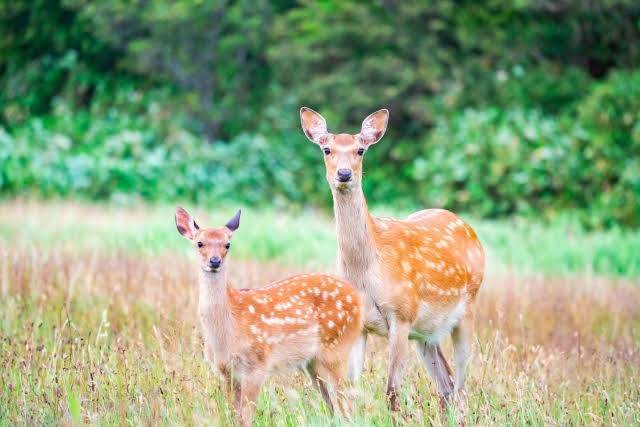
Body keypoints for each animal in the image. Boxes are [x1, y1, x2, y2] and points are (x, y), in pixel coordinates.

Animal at [174, 206, 364, 424]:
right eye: (200, 243)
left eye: (227, 244)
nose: (215, 261)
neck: (228, 327)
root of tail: (358, 299)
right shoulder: (226, 371)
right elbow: (234, 415)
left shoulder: (257, 365)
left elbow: (246, 416)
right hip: (314, 363)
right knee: (334, 405)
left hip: (336, 349)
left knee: (346, 404)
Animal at [300, 106, 484, 414]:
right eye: (327, 149)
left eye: (360, 150)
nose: (344, 173)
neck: (365, 270)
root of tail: (470, 230)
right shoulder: (360, 324)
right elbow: (351, 388)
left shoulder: (402, 314)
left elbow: (392, 392)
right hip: (427, 332)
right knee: (446, 385)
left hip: (468, 307)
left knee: (461, 387)